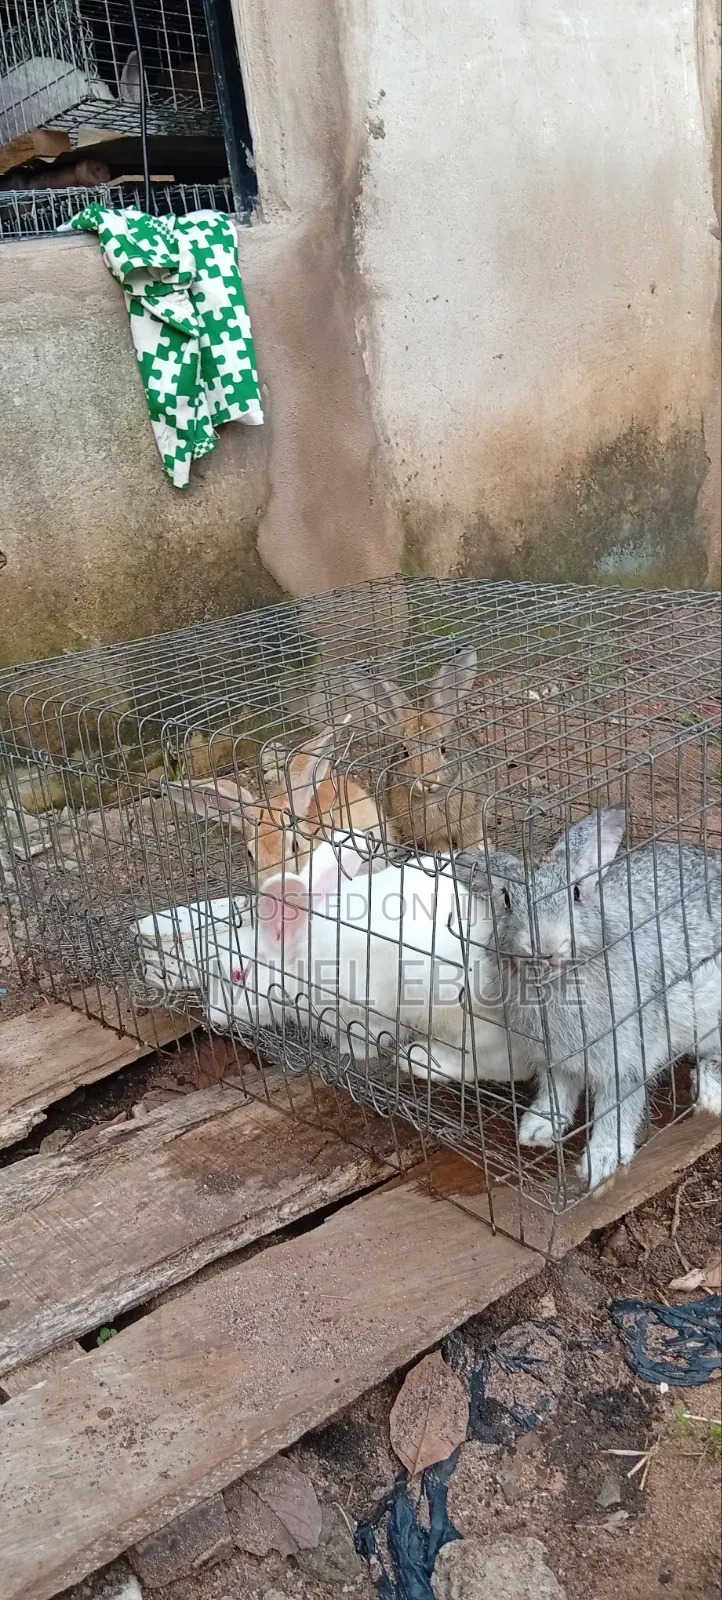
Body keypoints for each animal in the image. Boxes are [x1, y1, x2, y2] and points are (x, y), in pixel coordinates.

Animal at [344, 647, 486, 853]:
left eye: (443, 748)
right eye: (404, 752)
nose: (428, 781)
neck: (431, 800)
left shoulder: (470, 819)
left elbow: (470, 840)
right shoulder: (429, 835)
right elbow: (439, 848)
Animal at [455, 808, 722, 1190]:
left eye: (577, 893)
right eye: (505, 900)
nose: (547, 949)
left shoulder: (626, 1059)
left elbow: (617, 1109)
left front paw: (601, 1163)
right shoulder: (556, 1059)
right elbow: (557, 1091)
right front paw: (537, 1130)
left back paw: (710, 1090)